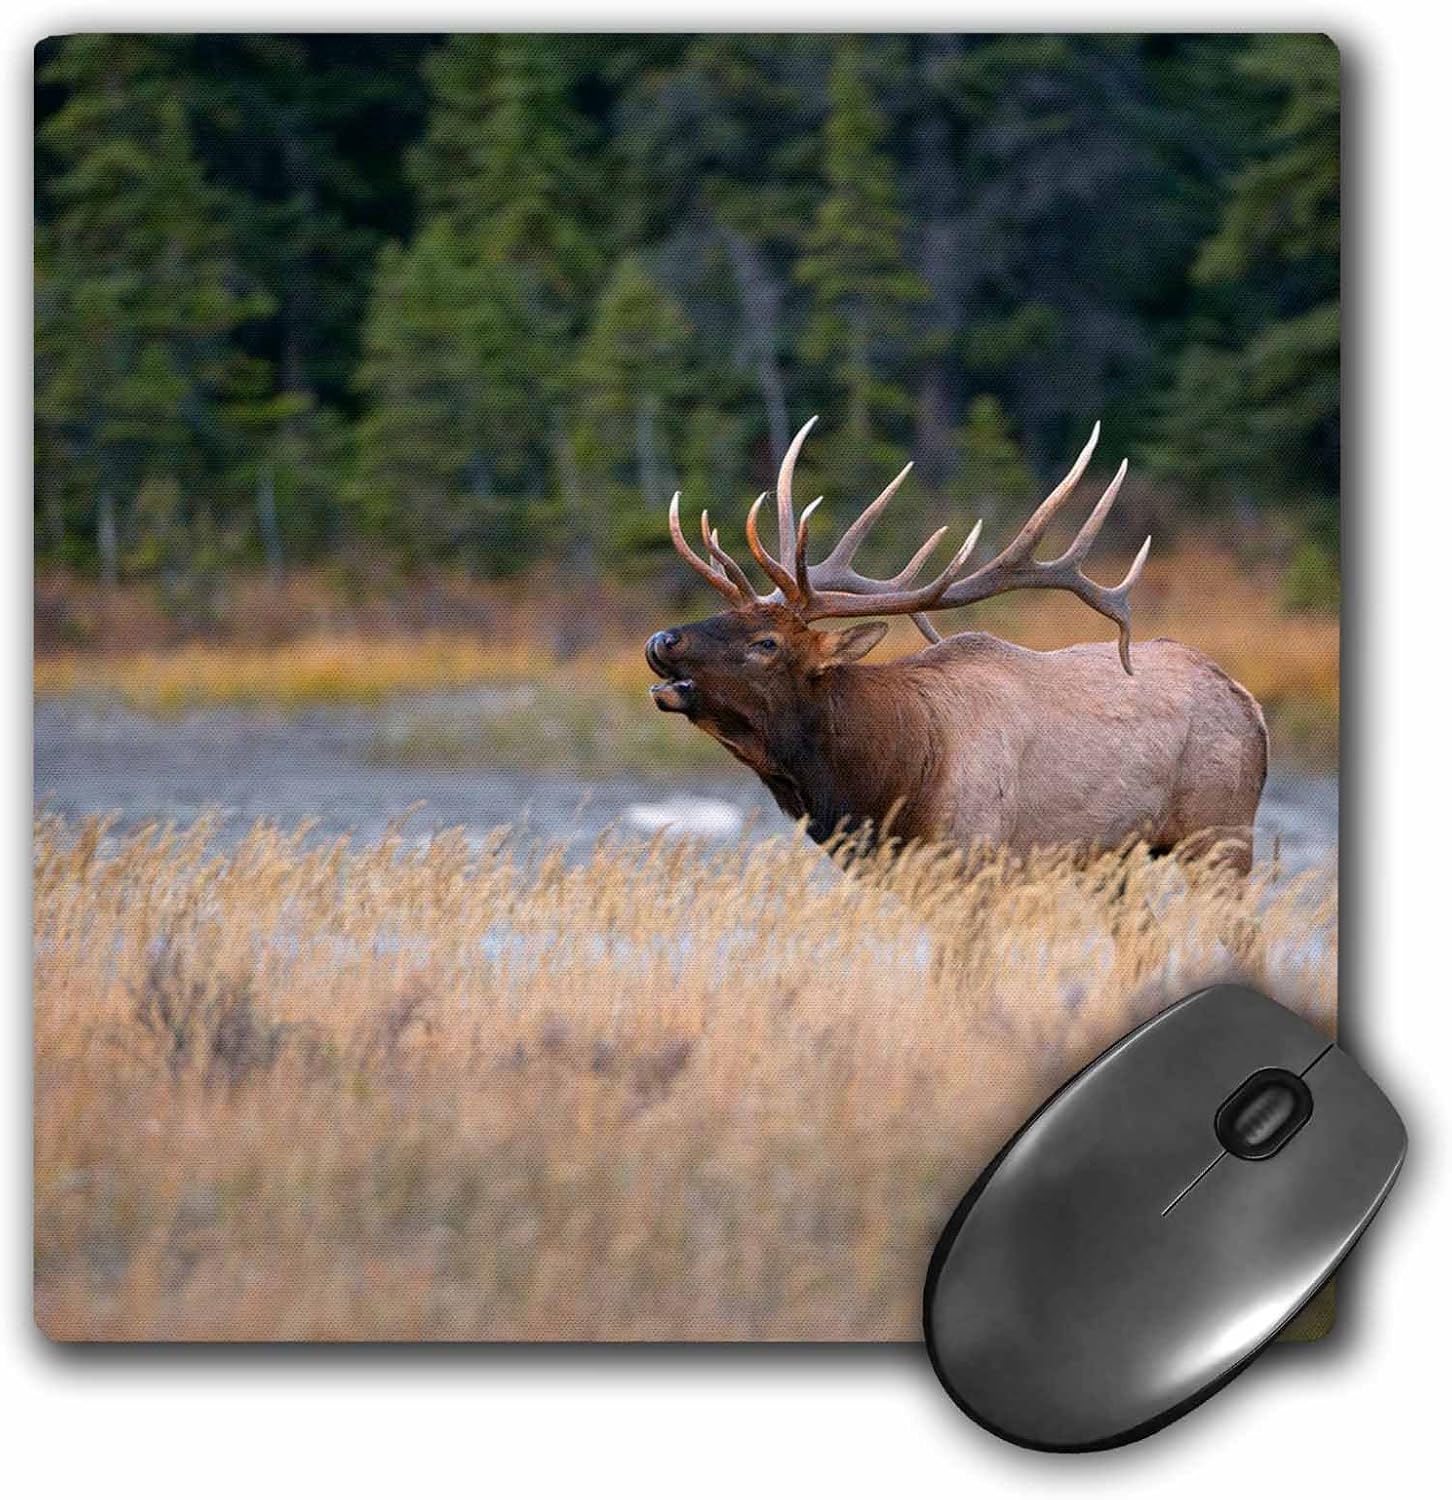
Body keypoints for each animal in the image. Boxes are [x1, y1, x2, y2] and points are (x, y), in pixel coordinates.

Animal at [645, 417, 1268, 870]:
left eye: (767, 643)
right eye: (725, 612)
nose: (662, 638)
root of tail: (1251, 706)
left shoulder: (975, 861)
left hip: (1222, 834)